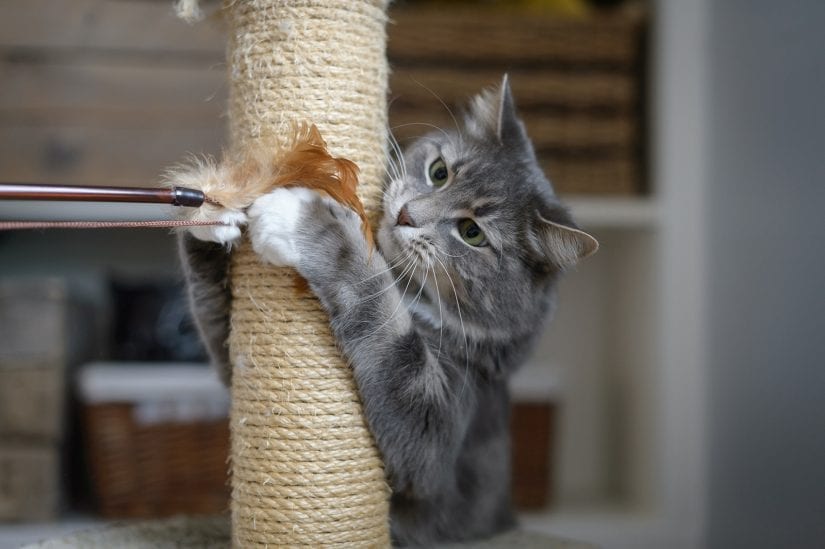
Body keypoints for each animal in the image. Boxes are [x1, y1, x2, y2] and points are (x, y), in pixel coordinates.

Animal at [180, 76, 596, 544]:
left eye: (472, 232)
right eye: (439, 172)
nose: (406, 215)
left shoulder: (435, 424)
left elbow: (375, 297)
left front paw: (303, 218)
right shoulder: (230, 359)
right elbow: (215, 320)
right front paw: (217, 207)